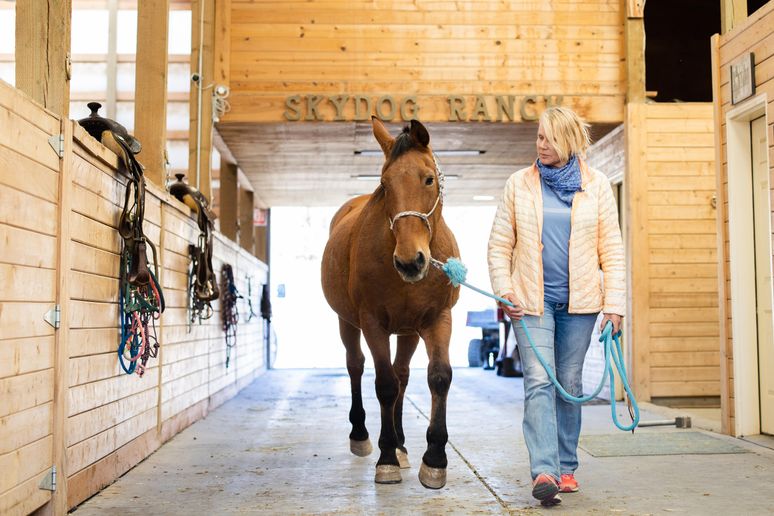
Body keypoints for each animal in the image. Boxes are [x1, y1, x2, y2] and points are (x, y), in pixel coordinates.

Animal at [322, 117, 460, 488]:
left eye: (428, 178)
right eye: (384, 184)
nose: (410, 262)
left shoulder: (437, 319)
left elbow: (438, 377)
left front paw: (434, 459)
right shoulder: (372, 322)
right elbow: (384, 384)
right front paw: (386, 460)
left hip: (409, 331)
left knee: (403, 376)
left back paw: (401, 445)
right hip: (347, 322)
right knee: (357, 366)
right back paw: (363, 436)